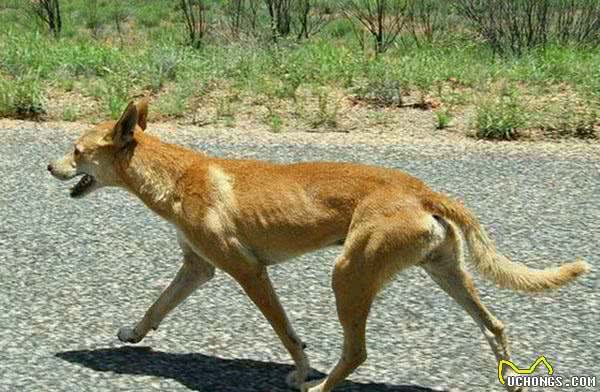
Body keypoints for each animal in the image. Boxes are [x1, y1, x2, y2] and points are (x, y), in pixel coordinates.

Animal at [48, 101, 592, 392]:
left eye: (76, 150)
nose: (48, 167)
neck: (177, 175)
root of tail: (422, 190)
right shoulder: (198, 268)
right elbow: (157, 306)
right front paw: (133, 334)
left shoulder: (247, 270)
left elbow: (286, 331)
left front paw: (301, 369)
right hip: (444, 271)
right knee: (495, 324)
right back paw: (509, 374)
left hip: (348, 274)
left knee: (357, 353)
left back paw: (322, 384)